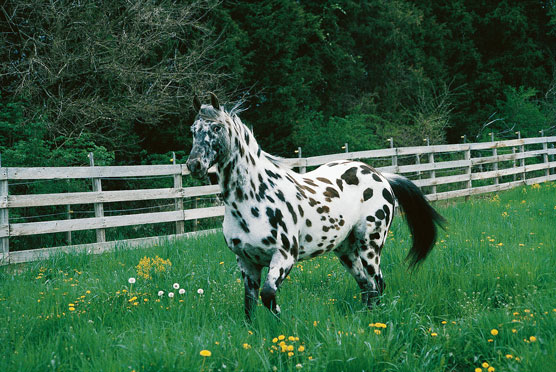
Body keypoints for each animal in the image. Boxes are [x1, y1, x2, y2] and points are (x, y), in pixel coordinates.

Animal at [185, 93, 446, 320]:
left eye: (217, 128)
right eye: (193, 131)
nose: (194, 165)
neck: (253, 198)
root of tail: (381, 176)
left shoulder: (284, 257)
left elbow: (268, 295)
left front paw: (282, 324)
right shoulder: (246, 262)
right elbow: (249, 304)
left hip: (370, 245)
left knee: (378, 283)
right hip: (346, 250)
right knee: (366, 285)